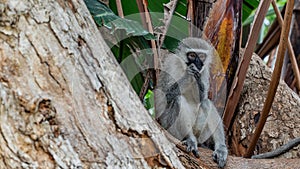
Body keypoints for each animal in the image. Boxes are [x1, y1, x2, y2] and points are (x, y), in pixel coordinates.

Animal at [155, 37, 227, 168]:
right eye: (192, 55)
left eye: (202, 56)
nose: (198, 63)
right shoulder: (171, 63)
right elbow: (164, 97)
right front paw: (188, 75)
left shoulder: (204, 71)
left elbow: (202, 98)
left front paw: (196, 78)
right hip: (169, 127)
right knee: (178, 99)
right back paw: (189, 139)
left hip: (199, 131)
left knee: (206, 103)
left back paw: (220, 149)